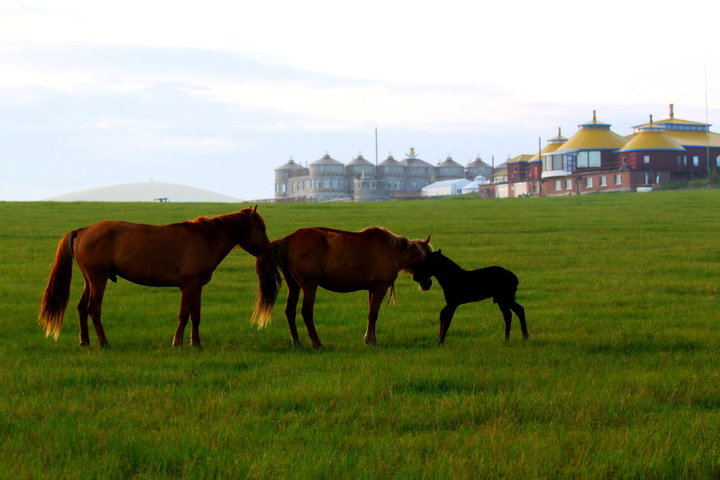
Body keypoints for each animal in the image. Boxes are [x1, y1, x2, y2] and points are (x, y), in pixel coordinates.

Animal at [37, 204, 268, 346]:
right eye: (261, 228)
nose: (266, 248)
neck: (204, 238)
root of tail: (82, 231)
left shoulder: (197, 287)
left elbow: (196, 315)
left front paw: (196, 343)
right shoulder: (188, 286)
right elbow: (184, 315)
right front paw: (177, 343)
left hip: (90, 280)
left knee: (82, 308)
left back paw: (85, 341)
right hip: (98, 279)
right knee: (94, 309)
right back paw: (104, 343)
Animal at [250, 227, 430, 346]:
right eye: (429, 258)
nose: (427, 284)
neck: (392, 250)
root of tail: (289, 239)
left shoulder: (372, 289)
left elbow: (370, 314)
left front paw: (370, 337)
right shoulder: (380, 288)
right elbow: (373, 314)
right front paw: (371, 341)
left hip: (294, 286)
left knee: (290, 311)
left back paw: (297, 342)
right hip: (309, 286)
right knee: (306, 312)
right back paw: (317, 343)